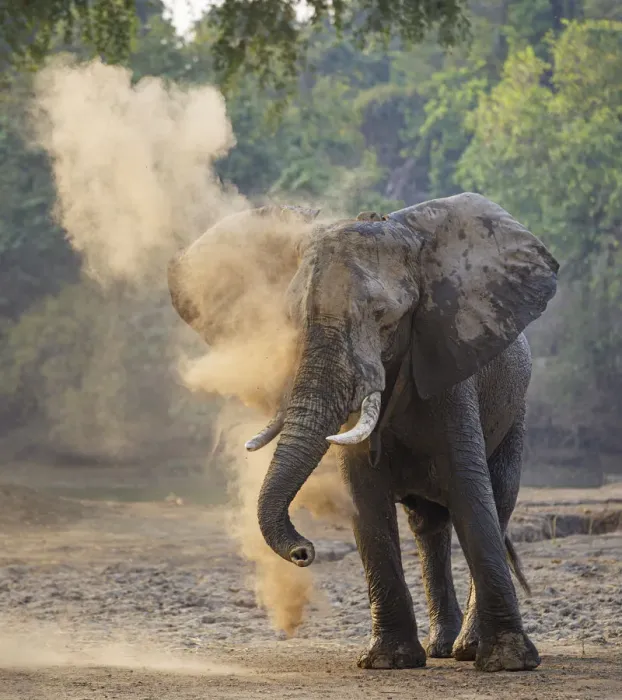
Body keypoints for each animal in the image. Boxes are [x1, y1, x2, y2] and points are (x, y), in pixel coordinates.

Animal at [167, 193, 559, 673]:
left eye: (382, 316)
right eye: (291, 318)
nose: (304, 552)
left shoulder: (448, 366)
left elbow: (469, 490)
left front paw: (508, 662)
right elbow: (362, 493)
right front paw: (389, 661)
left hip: (515, 410)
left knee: (497, 498)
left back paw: (465, 648)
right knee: (427, 524)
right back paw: (441, 648)